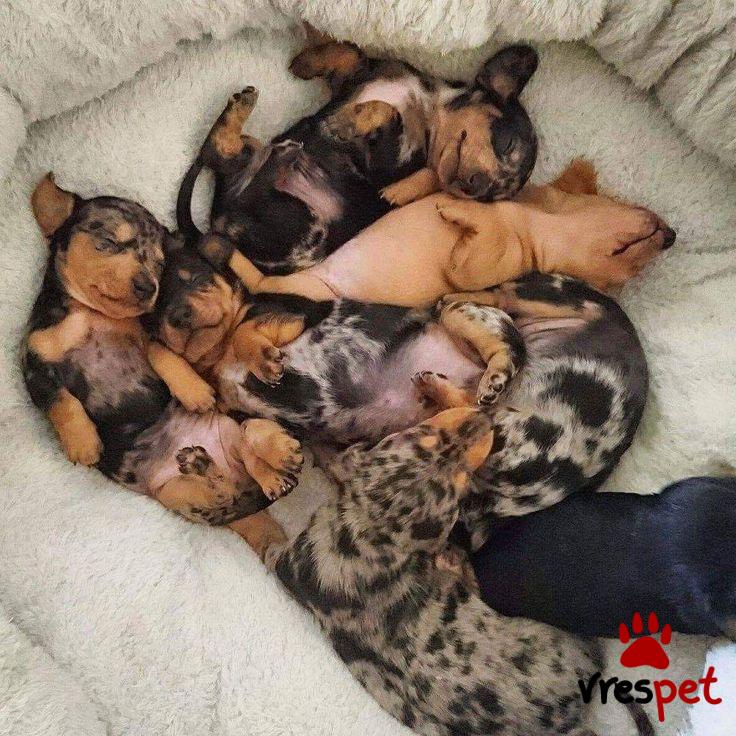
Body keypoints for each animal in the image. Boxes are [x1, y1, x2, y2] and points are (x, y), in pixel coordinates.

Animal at [23, 174, 302, 526]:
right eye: (108, 242)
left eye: (157, 263)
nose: (147, 287)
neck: (91, 314)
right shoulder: (34, 363)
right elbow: (58, 400)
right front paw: (83, 442)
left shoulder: (149, 336)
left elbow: (159, 352)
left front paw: (194, 391)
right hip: (175, 494)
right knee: (223, 494)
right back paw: (213, 468)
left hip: (233, 428)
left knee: (250, 439)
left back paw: (278, 454)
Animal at [177, 40, 539, 275]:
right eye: (507, 142)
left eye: (494, 198)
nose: (478, 187)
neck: (428, 109)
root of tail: (219, 220)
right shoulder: (364, 73)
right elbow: (348, 53)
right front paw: (304, 62)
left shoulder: (387, 163)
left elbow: (388, 112)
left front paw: (349, 122)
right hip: (253, 155)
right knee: (219, 150)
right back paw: (244, 110)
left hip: (304, 225)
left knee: (220, 153)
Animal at [213, 157, 675, 305]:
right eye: (630, 253)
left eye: (628, 272)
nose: (672, 236)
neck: (538, 220)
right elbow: (437, 179)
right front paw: (402, 191)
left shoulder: (489, 266)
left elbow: (466, 262)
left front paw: (456, 215)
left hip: (304, 288)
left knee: (257, 279)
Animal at [233, 407, 652, 736]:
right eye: (425, 436)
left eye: (463, 479)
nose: (486, 418)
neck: (368, 532)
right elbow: (339, 464)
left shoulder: (283, 558)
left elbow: (265, 533)